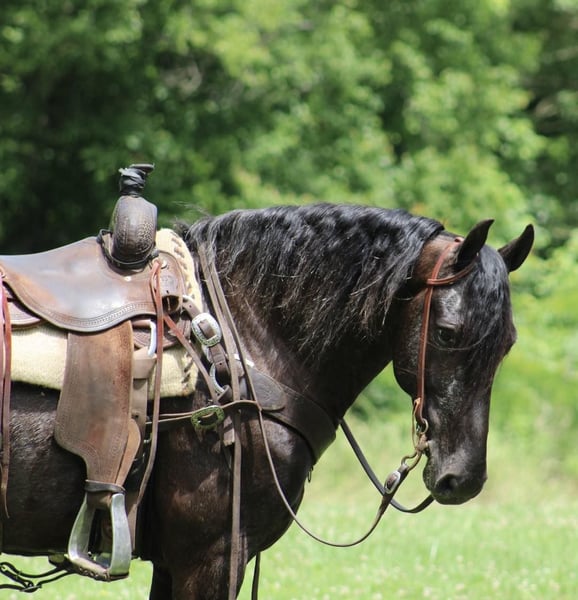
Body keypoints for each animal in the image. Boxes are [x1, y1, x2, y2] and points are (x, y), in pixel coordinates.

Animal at [1, 203, 533, 599]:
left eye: (507, 342)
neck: (241, 343)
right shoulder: (212, 557)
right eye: (447, 333)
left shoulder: (178, 563)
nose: (463, 478)